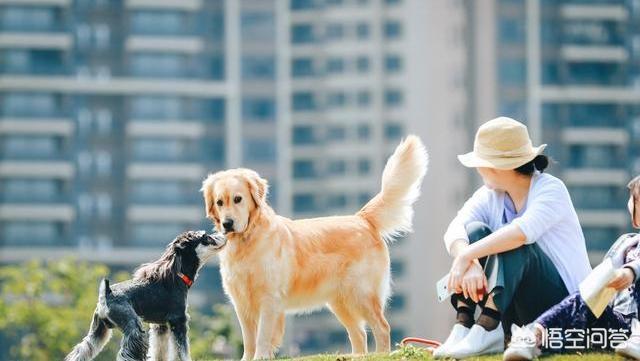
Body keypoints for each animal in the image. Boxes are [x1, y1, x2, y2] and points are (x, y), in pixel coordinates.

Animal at [66, 231, 226, 360]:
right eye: (205, 237)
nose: (224, 234)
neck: (177, 276)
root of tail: (106, 294)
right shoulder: (179, 321)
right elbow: (182, 352)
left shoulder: (160, 326)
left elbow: (159, 351)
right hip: (135, 331)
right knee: (126, 355)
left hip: (98, 331)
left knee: (82, 351)